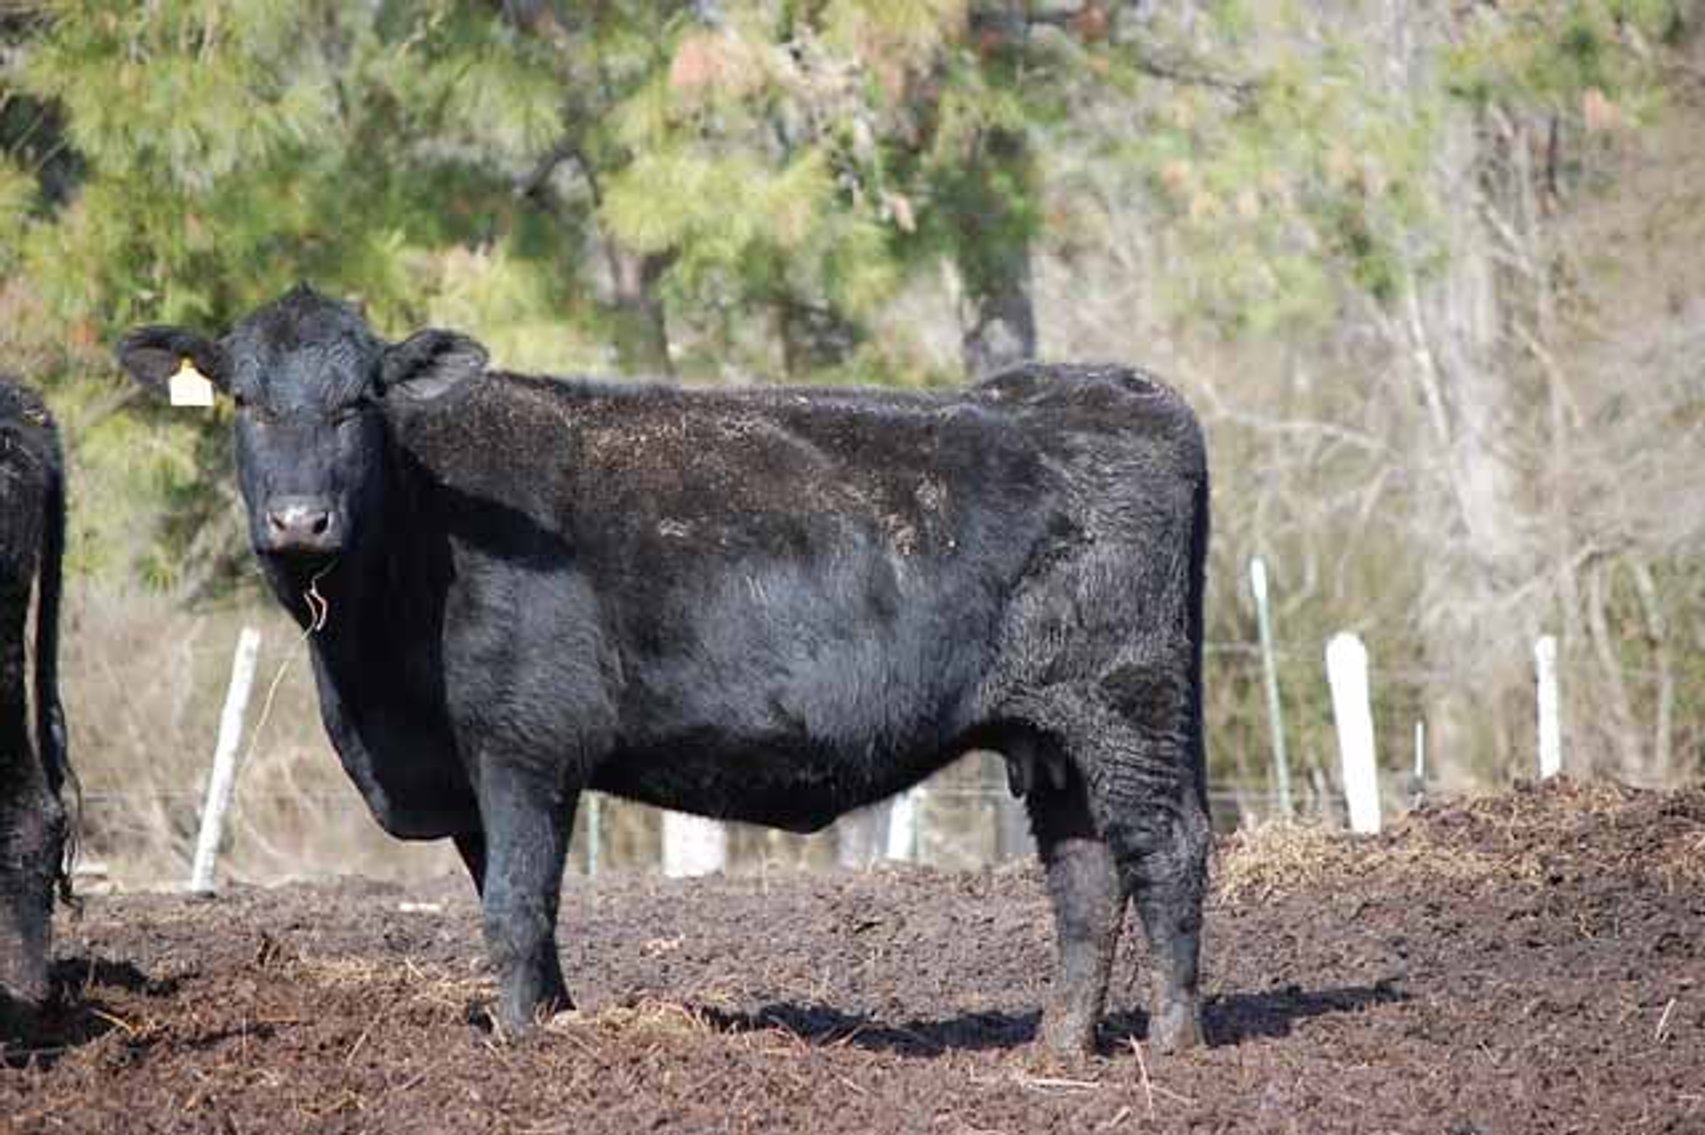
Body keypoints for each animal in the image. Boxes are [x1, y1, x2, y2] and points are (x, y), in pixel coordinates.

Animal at [118, 285, 1211, 1055]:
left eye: (357, 403)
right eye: (244, 400)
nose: (299, 519)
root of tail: (1115, 387)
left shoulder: (523, 746)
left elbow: (516, 905)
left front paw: (522, 1040)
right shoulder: (460, 771)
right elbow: (517, 907)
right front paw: (558, 1019)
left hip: (1130, 704)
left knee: (1165, 846)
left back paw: (1173, 1040)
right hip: (1050, 733)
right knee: (1082, 872)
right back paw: (1056, 1046)